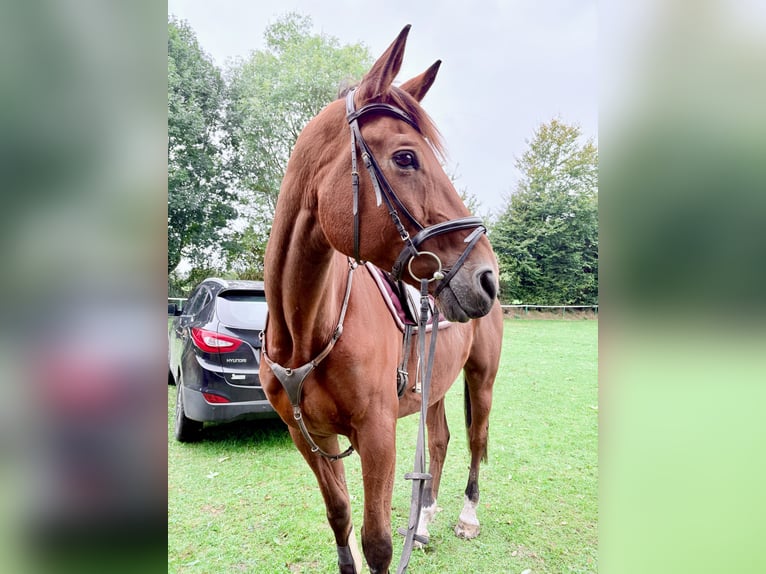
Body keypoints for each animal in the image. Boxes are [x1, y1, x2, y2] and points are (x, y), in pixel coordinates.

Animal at [259, 25, 504, 574]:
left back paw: (467, 518)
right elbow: (341, 519)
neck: (307, 332)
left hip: (481, 378)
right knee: (440, 442)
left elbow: (377, 543)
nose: (487, 278)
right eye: (406, 157)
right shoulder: (310, 438)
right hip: (435, 384)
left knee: (476, 440)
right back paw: (426, 522)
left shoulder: (376, 434)